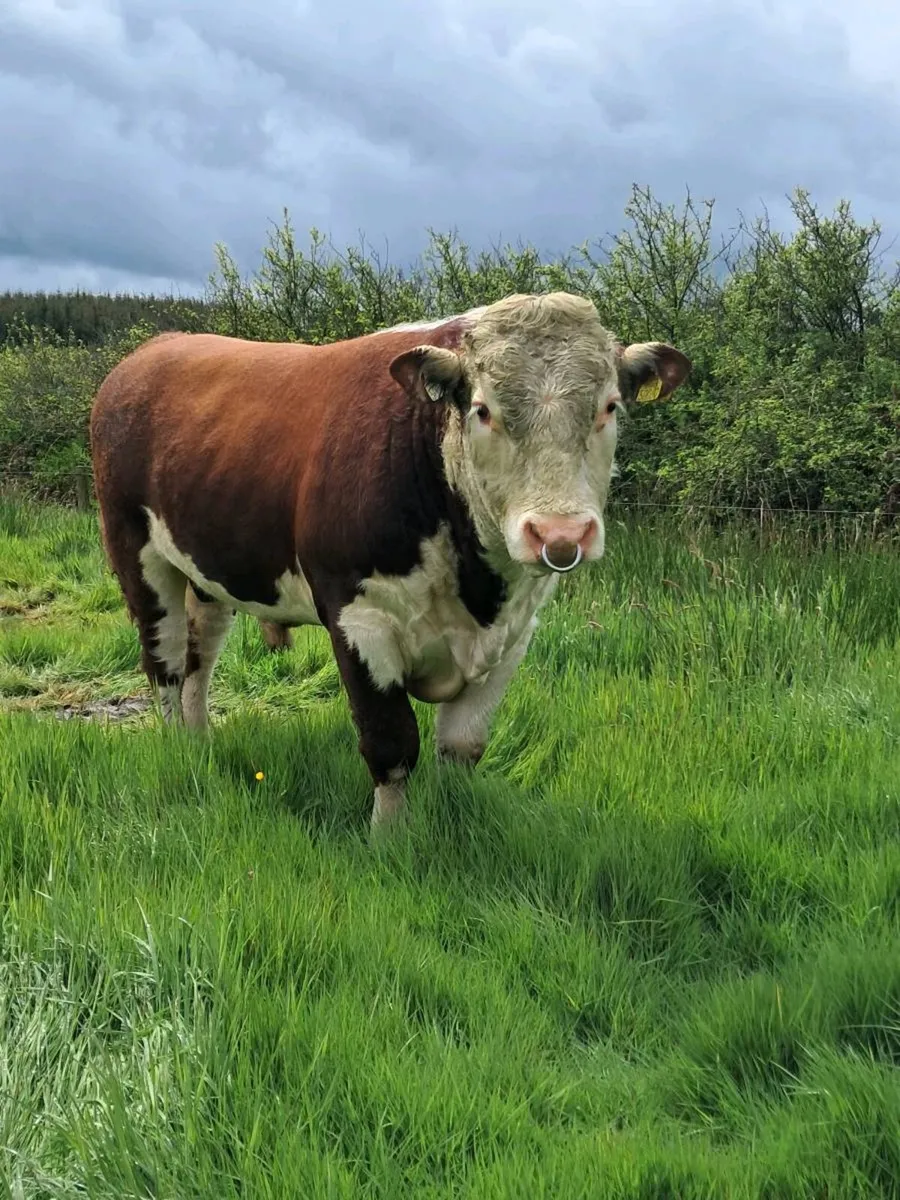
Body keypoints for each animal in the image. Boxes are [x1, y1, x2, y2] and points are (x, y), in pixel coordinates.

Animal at [89, 292, 690, 833]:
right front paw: (389, 842)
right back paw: (176, 750)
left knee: (200, 656)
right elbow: (391, 743)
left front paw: (453, 824)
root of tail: (157, 347)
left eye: (609, 406)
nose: (560, 533)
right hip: (135, 551)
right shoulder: (359, 619)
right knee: (165, 660)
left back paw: (198, 744)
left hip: (209, 568)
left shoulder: (516, 631)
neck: (477, 592)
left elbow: (463, 746)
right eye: (483, 410)